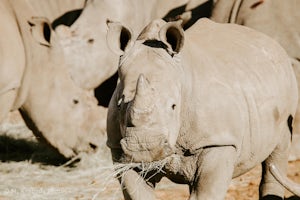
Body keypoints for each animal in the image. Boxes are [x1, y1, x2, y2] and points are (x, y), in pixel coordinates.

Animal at [105, 18, 300, 199]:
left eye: (174, 106)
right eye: (119, 105)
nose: (144, 147)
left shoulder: (219, 140)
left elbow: (207, 192)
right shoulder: (118, 149)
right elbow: (137, 192)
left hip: (286, 85)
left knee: (278, 151)